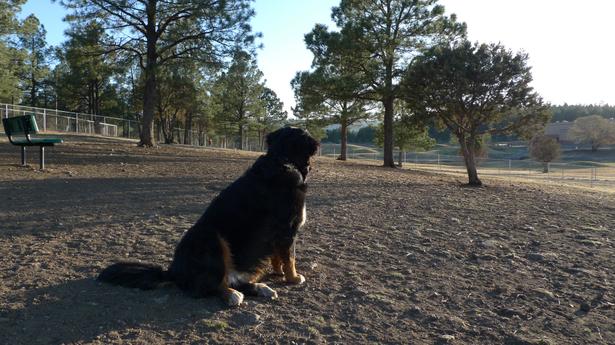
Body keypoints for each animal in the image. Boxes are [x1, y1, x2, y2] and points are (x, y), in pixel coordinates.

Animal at [98, 127, 320, 306]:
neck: (282, 159)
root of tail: (173, 271)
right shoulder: (288, 228)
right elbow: (290, 257)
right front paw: (293, 277)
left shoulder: (276, 234)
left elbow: (277, 256)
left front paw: (279, 272)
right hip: (211, 239)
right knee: (208, 287)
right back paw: (232, 295)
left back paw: (260, 288)